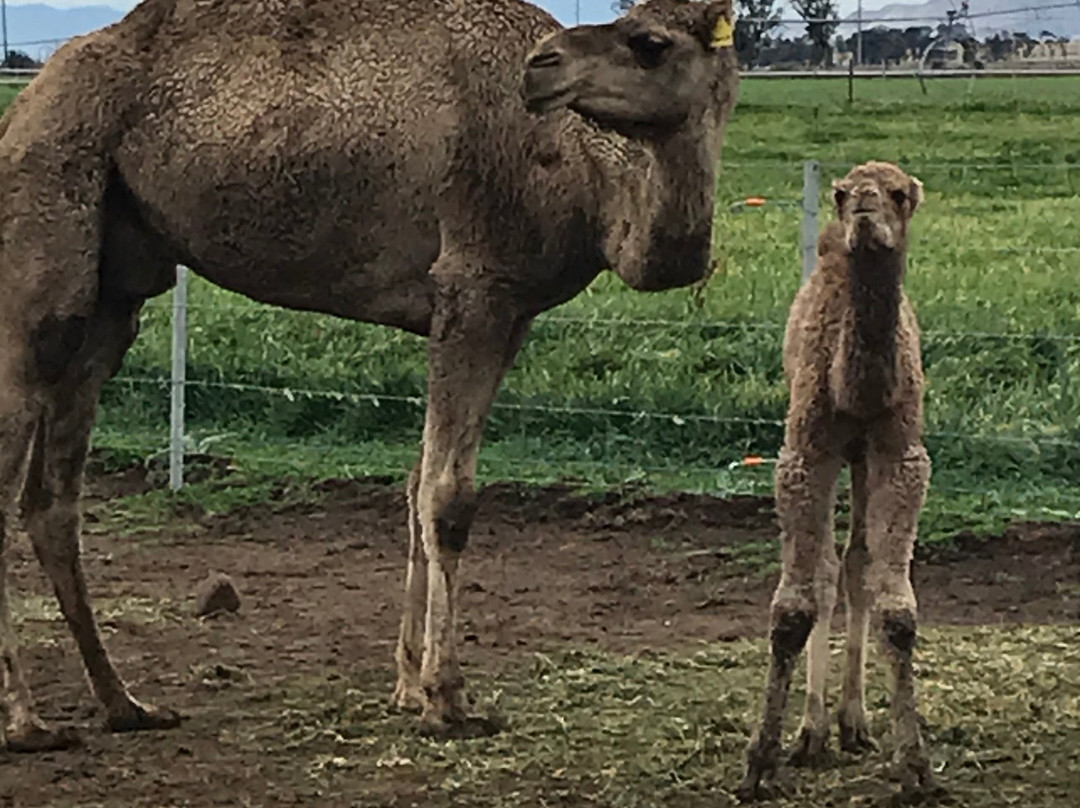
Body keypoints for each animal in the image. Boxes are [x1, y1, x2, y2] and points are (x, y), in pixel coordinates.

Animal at [0, 0, 740, 749]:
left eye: (649, 41)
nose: (542, 66)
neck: (587, 177)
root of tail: (30, 99)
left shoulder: (510, 314)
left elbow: (416, 485)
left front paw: (408, 686)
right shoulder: (474, 288)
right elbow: (448, 497)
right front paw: (447, 698)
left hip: (114, 291)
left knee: (55, 497)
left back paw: (124, 703)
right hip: (45, 230)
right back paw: (28, 721)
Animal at [737, 162, 935, 800]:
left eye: (899, 193)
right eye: (844, 194)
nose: (866, 212)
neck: (857, 390)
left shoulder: (900, 454)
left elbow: (896, 608)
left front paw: (915, 764)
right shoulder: (805, 452)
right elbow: (795, 606)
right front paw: (760, 759)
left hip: (862, 459)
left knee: (855, 561)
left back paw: (853, 722)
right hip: (838, 453)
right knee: (827, 568)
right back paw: (814, 731)